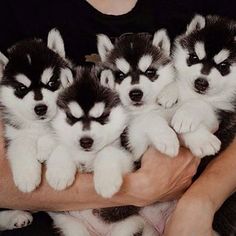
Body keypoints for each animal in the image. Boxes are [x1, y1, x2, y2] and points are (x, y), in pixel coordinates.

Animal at [0, 28, 73, 230]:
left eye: (52, 83)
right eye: (21, 88)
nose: (40, 108)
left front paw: (59, 172)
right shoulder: (14, 133)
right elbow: (22, 148)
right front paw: (26, 176)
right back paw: (15, 216)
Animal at [47, 67, 156, 236]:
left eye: (102, 116)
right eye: (72, 117)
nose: (85, 141)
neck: (89, 154)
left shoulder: (131, 158)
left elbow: (109, 151)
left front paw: (106, 182)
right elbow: (63, 146)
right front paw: (59, 173)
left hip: (130, 224)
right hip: (69, 225)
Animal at [97, 30, 180, 161]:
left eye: (150, 72)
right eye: (120, 75)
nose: (135, 94)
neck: (141, 110)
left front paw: (168, 93)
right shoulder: (131, 143)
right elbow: (148, 118)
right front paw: (167, 138)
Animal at [171, 14, 236, 236]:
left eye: (224, 67)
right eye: (193, 58)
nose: (201, 82)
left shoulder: (227, 116)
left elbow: (202, 105)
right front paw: (168, 91)